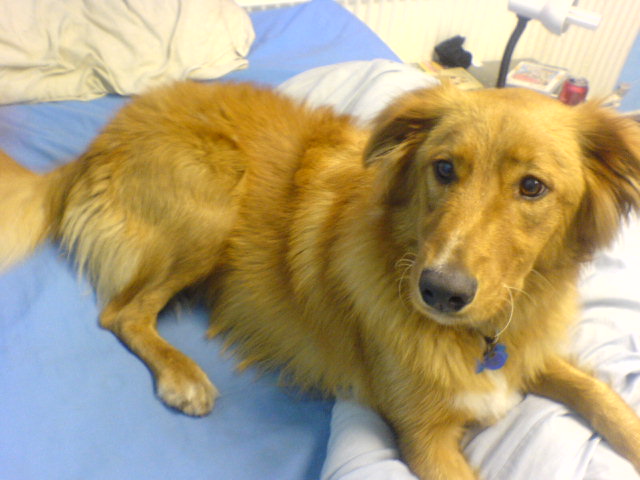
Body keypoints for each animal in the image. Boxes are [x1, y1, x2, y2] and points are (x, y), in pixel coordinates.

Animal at [2, 81, 640, 479]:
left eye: (532, 187)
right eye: (444, 168)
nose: (440, 292)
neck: (477, 337)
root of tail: (98, 142)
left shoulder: (526, 354)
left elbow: (599, 393)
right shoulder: (424, 438)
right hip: (214, 201)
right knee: (122, 312)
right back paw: (182, 375)